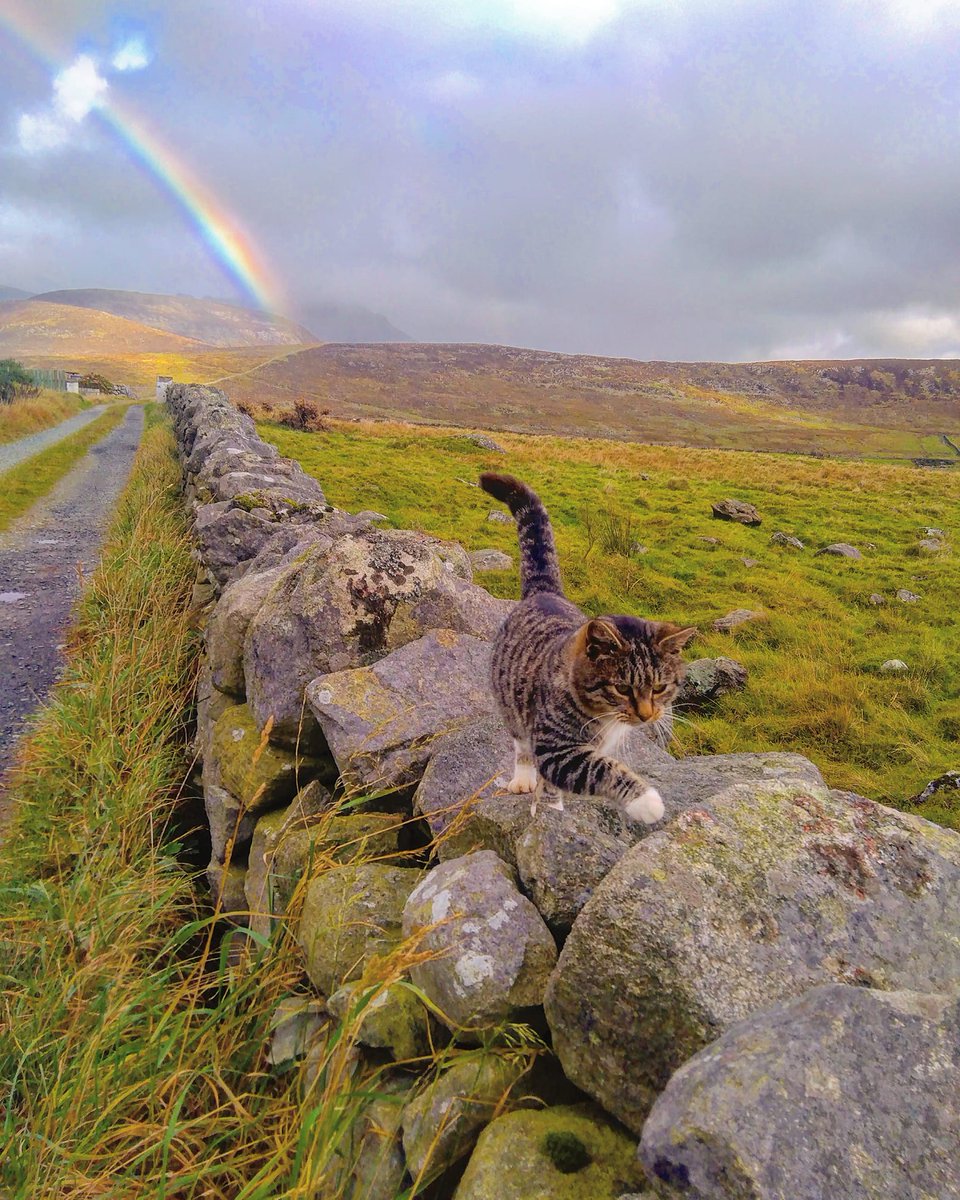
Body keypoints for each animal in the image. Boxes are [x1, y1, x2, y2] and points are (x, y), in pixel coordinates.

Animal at [480, 472, 696, 820]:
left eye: (660, 687)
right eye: (622, 688)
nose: (647, 716)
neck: (603, 718)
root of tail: (544, 591)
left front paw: (554, 802)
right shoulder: (556, 747)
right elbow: (600, 768)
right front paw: (646, 801)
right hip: (510, 700)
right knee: (521, 744)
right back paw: (523, 778)